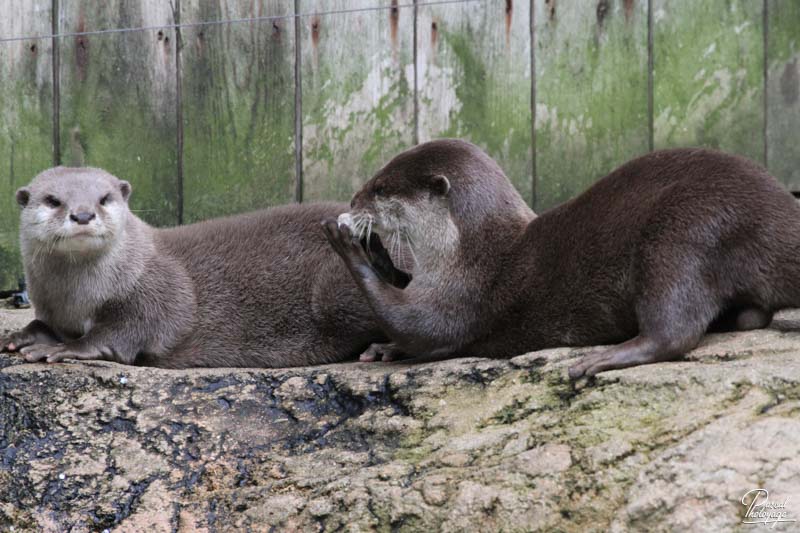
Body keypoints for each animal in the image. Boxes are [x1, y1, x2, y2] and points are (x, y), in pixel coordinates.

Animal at [0, 166, 388, 366]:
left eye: (104, 199)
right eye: (53, 200)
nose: (82, 214)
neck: (78, 298)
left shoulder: (159, 289)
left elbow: (122, 333)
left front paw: (63, 349)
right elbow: (44, 324)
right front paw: (20, 336)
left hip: (333, 291)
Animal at [322, 139, 800, 376]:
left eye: (381, 188)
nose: (354, 200)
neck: (460, 251)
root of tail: (778, 212)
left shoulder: (466, 295)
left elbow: (419, 327)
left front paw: (348, 242)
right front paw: (384, 348)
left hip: (686, 231)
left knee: (675, 331)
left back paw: (603, 358)